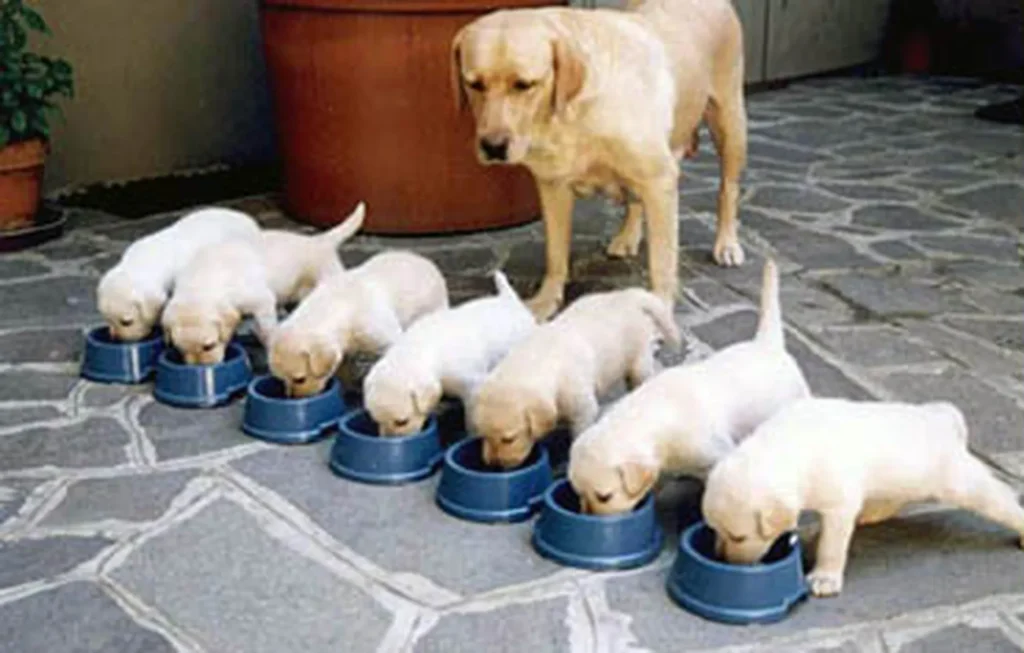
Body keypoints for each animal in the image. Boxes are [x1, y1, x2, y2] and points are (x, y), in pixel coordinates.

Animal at [161, 203, 364, 364]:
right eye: (181, 349)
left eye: (208, 346)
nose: (201, 369)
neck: (205, 280)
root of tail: (320, 241)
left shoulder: (262, 301)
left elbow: (267, 329)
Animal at [364, 271, 536, 436]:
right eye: (376, 420)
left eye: (402, 422)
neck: (420, 348)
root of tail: (510, 300)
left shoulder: (472, 387)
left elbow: (471, 419)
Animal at [452, 0, 747, 319]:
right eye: (473, 84)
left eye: (524, 85)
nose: (493, 146)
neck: (573, 113)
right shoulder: (553, 187)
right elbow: (555, 255)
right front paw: (547, 300)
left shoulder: (660, 178)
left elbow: (662, 261)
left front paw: (659, 308)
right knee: (635, 201)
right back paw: (628, 236)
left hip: (729, 122)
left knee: (728, 189)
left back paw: (727, 243)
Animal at [472, 287, 680, 468]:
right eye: (483, 435)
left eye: (509, 439)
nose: (493, 465)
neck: (537, 361)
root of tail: (628, 296)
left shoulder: (583, 409)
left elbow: (578, 434)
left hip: (638, 361)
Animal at [702, 397, 1024, 597]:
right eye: (714, 531)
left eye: (739, 537)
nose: (721, 559)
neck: (786, 448)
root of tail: (941, 418)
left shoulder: (839, 503)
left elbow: (832, 543)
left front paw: (825, 577)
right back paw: (873, 512)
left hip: (957, 479)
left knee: (999, 499)